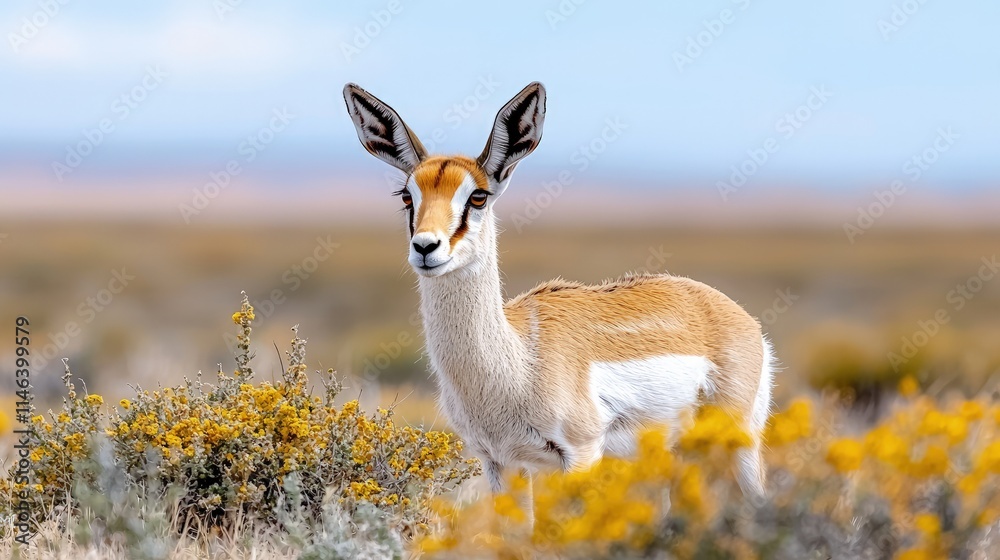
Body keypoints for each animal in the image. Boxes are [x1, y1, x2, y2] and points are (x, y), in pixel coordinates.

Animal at [342, 81, 776, 505]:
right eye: (406, 195)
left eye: (478, 196)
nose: (426, 247)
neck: (518, 358)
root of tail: (741, 318)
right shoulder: (501, 461)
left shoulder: (581, 452)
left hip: (739, 445)